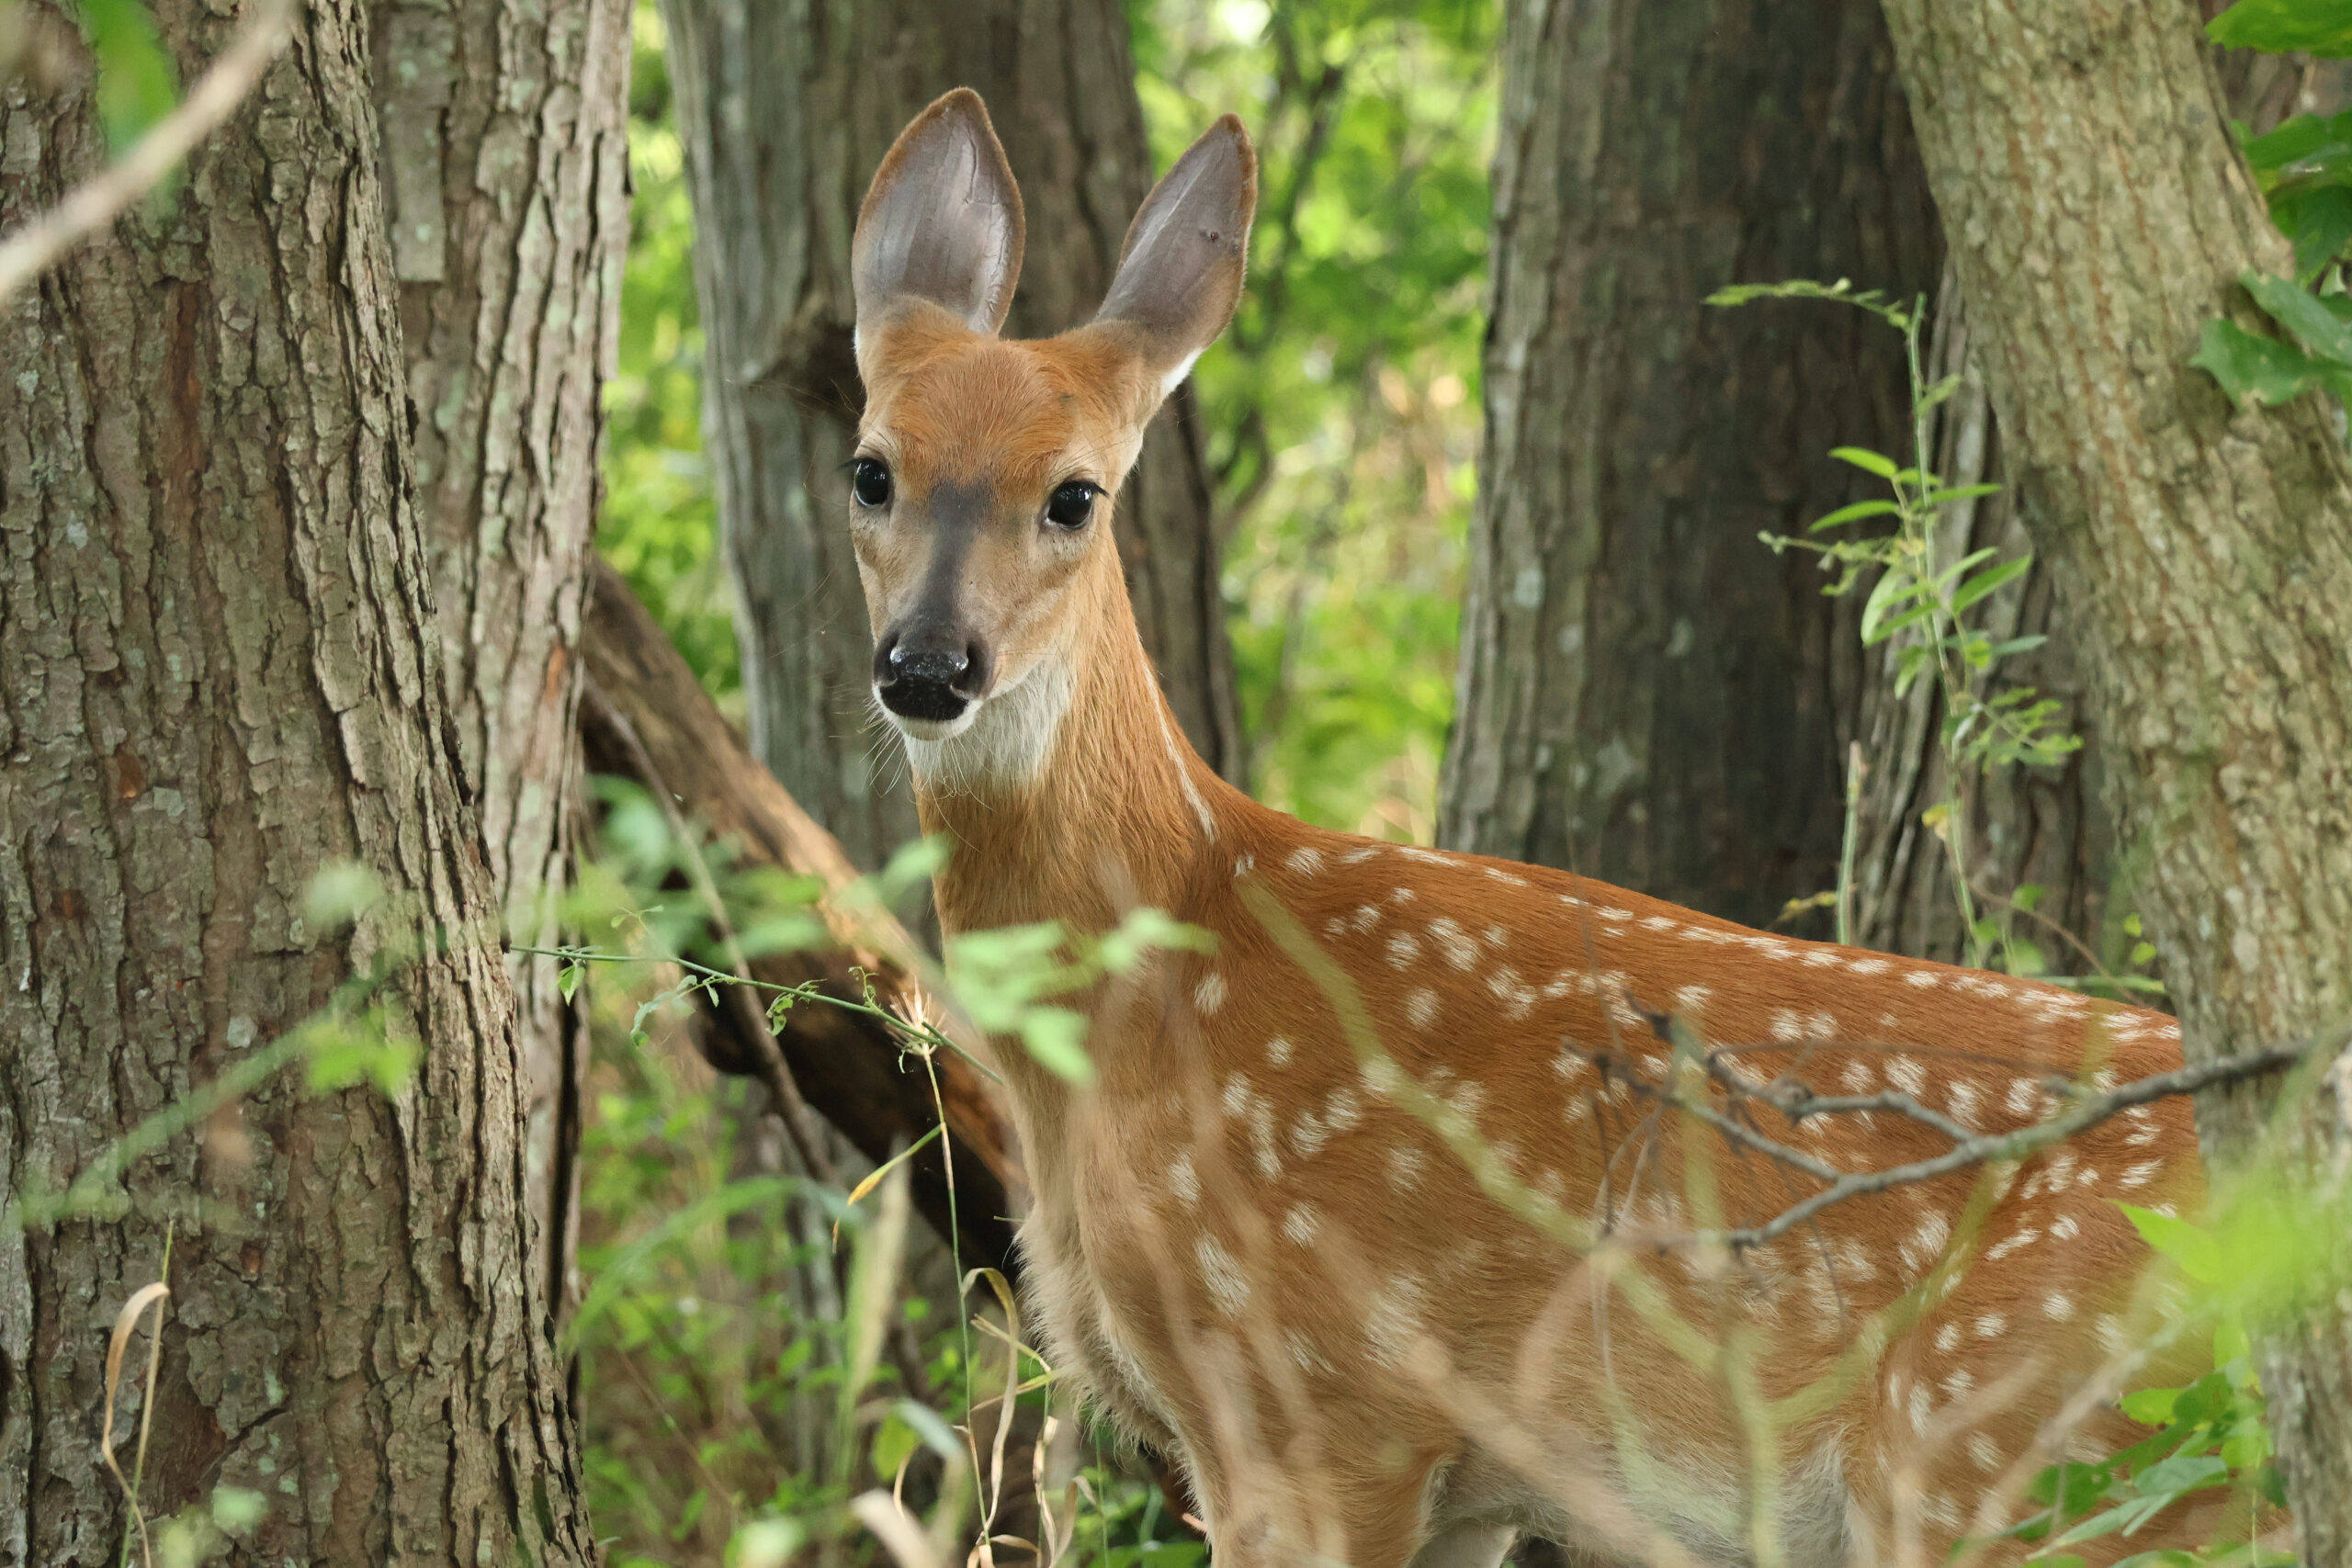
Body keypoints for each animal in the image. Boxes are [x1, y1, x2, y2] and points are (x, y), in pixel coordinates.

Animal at [844, 89, 2217, 1568]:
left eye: (1074, 494)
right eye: (870, 471)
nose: (927, 664)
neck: (1146, 990)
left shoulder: (1315, 1399)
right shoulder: (1461, 1477)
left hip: (2012, 1449)